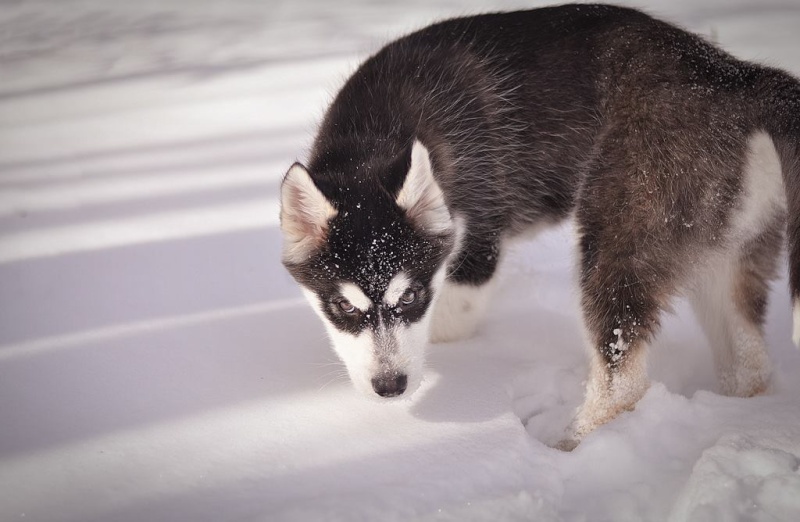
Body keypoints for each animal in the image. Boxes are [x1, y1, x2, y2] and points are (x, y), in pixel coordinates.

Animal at [280, 3, 800, 446]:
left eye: (409, 297)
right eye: (343, 306)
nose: (390, 387)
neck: (378, 134)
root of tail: (733, 76)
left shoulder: (477, 249)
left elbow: (445, 323)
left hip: (619, 240)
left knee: (623, 380)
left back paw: (566, 444)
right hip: (725, 251)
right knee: (750, 363)